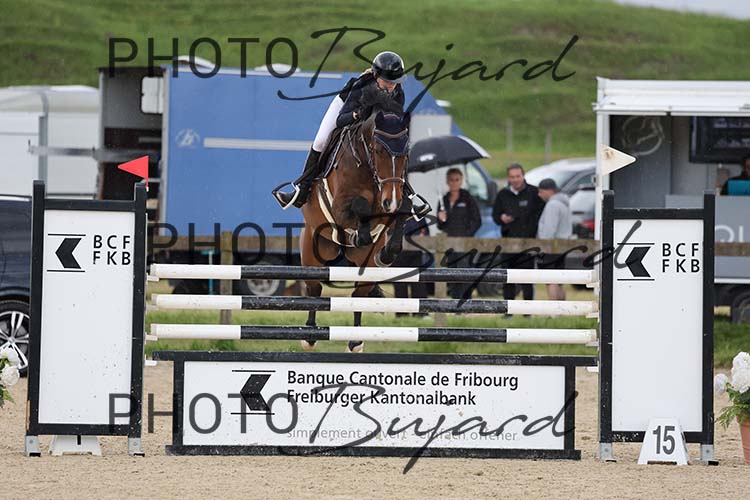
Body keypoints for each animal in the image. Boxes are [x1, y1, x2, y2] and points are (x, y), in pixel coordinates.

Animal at [299, 110, 412, 352]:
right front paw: (360, 235)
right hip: (313, 253)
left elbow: (402, 211)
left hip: (365, 267)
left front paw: (385, 253)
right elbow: (359, 206)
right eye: (378, 150)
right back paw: (309, 336)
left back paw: (355, 341)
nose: (391, 201)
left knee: (358, 295)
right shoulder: (339, 208)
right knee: (314, 288)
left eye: (406, 154)